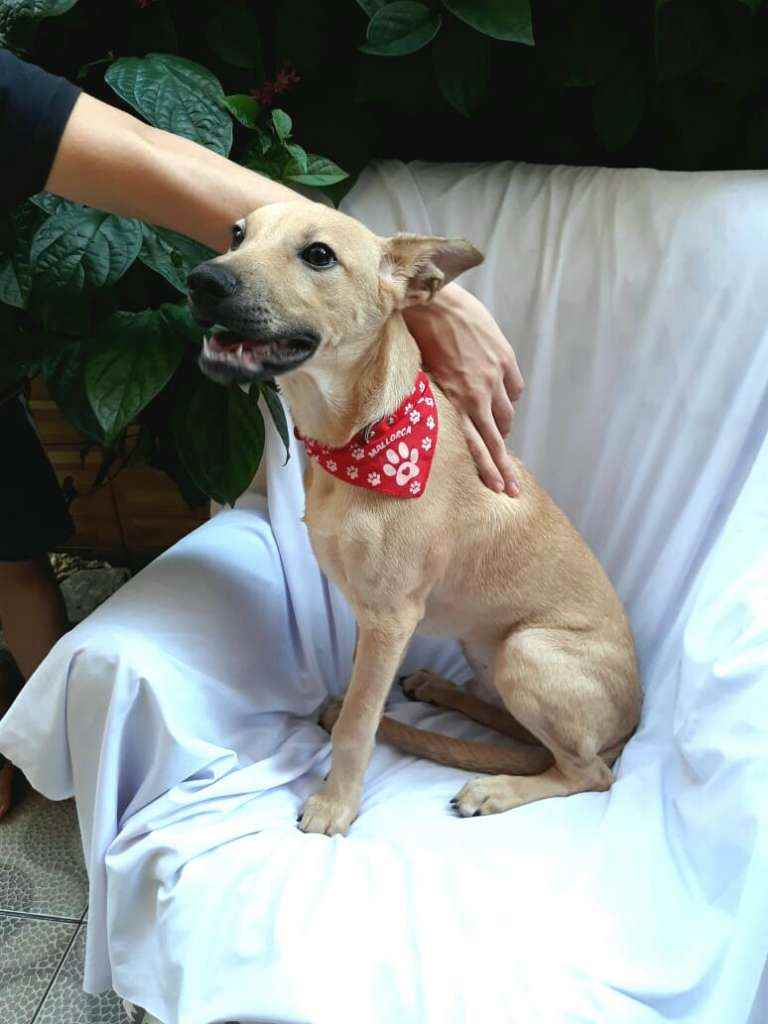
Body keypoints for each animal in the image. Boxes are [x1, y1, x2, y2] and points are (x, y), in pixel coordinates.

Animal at [188, 202, 641, 836]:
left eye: (319, 255)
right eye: (237, 234)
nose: (202, 281)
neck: (361, 438)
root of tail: (633, 723)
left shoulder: (390, 618)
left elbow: (357, 723)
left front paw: (335, 804)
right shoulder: (369, 615)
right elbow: (360, 696)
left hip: (528, 652)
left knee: (585, 772)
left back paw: (495, 787)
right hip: (487, 649)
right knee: (524, 735)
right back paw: (441, 691)